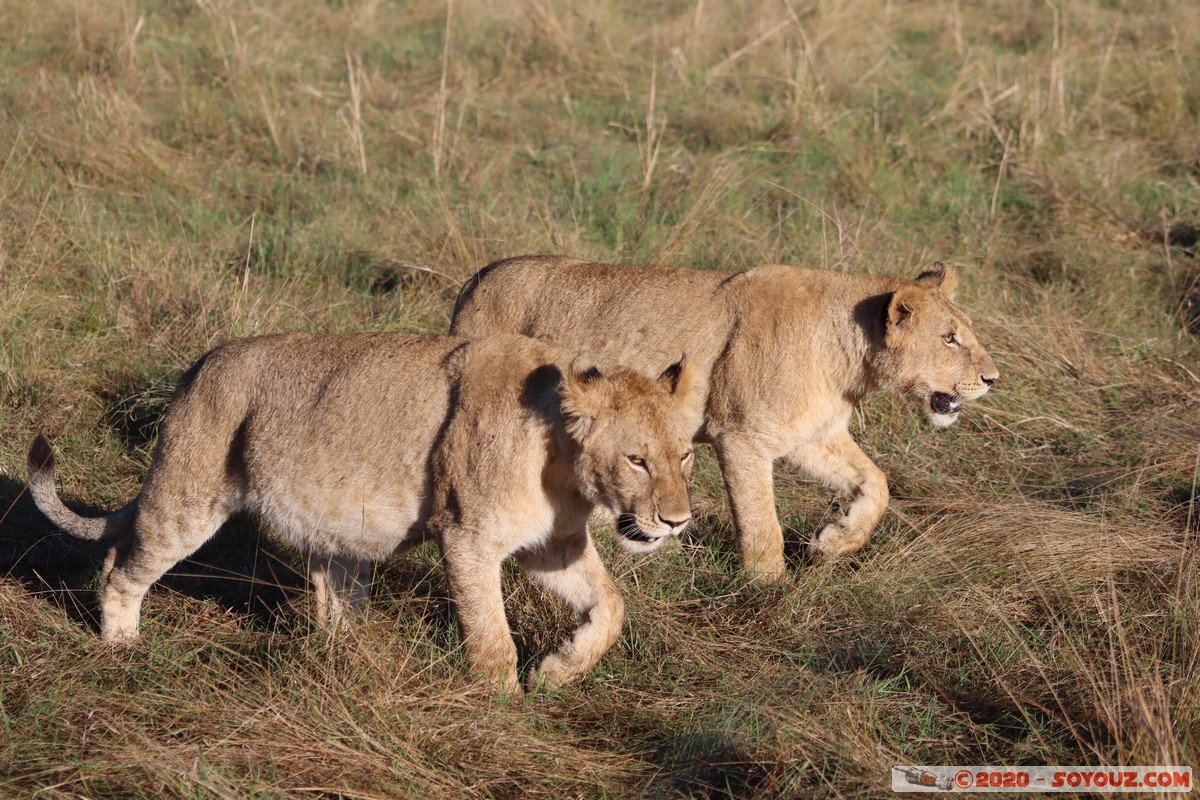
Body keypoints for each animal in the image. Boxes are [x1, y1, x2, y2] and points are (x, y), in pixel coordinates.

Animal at [28, 333, 700, 695]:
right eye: (637, 460)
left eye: (686, 455)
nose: (677, 522)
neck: (562, 464)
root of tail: (196, 368)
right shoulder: (468, 536)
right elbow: (491, 638)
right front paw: (502, 710)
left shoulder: (549, 543)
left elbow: (610, 606)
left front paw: (557, 673)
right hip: (188, 495)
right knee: (121, 567)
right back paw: (122, 649)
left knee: (333, 605)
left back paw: (350, 659)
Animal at [451, 260, 993, 578]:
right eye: (949, 339)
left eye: (963, 333)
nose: (993, 378)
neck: (848, 356)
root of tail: (475, 279)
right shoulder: (743, 436)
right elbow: (761, 524)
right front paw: (769, 593)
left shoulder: (810, 436)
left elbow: (875, 484)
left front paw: (834, 543)